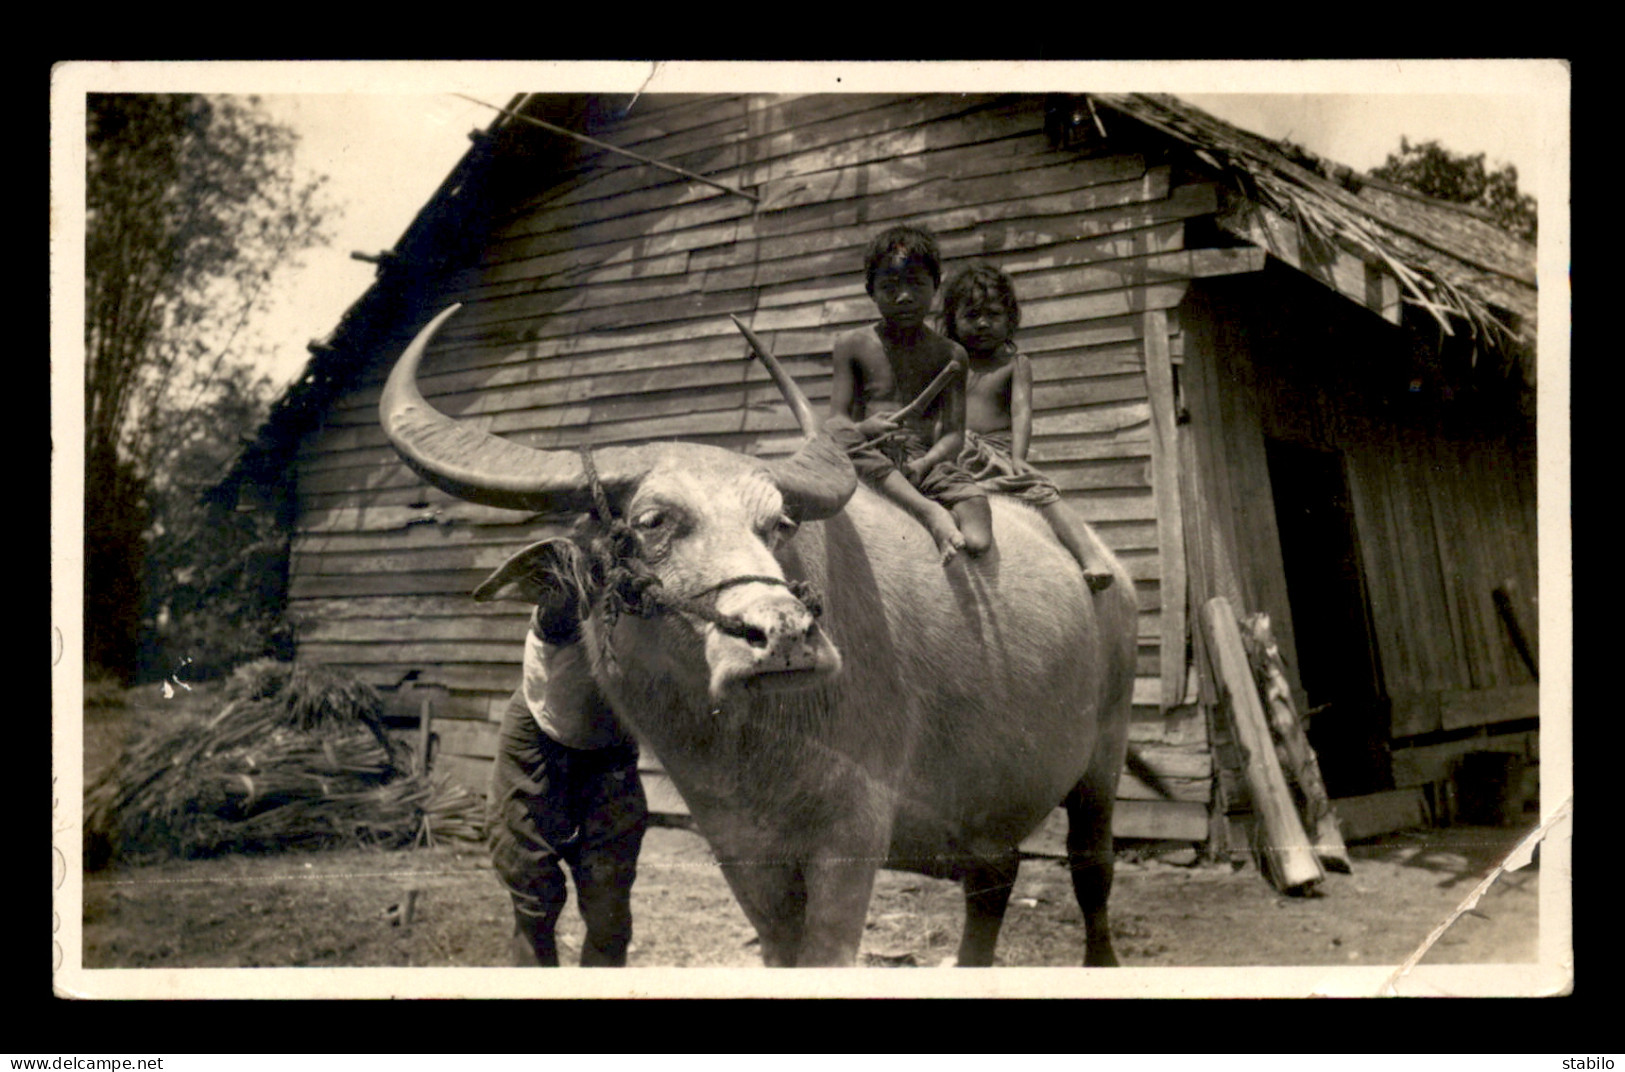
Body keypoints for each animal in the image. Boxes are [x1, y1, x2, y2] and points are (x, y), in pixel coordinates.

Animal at [385, 305, 1137, 968]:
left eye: (778, 524)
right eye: (653, 521)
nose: (783, 635)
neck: (747, 749)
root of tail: (1111, 568)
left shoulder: (851, 836)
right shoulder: (742, 852)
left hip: (1101, 761)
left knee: (1091, 873)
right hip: (989, 806)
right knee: (993, 881)